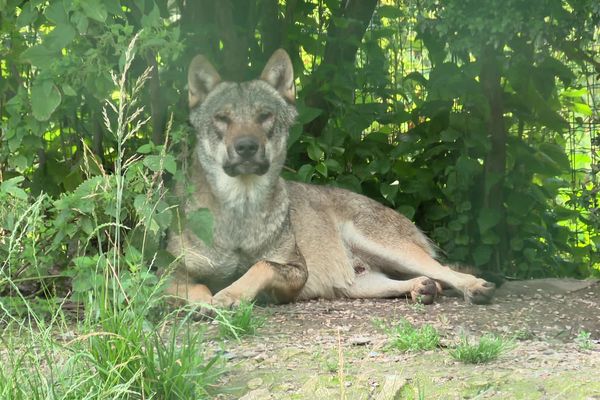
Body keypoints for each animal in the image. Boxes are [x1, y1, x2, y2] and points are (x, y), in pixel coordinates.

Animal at [166, 49, 494, 306]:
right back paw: (422, 289)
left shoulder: (295, 273)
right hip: (356, 286)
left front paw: (229, 295)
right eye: (222, 118)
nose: (246, 147)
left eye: (265, 116)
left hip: (388, 249)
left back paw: (474, 287)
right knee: (422, 280)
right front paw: (204, 304)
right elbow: (195, 288)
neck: (241, 212)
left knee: (445, 271)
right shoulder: (166, 273)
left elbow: (261, 266)